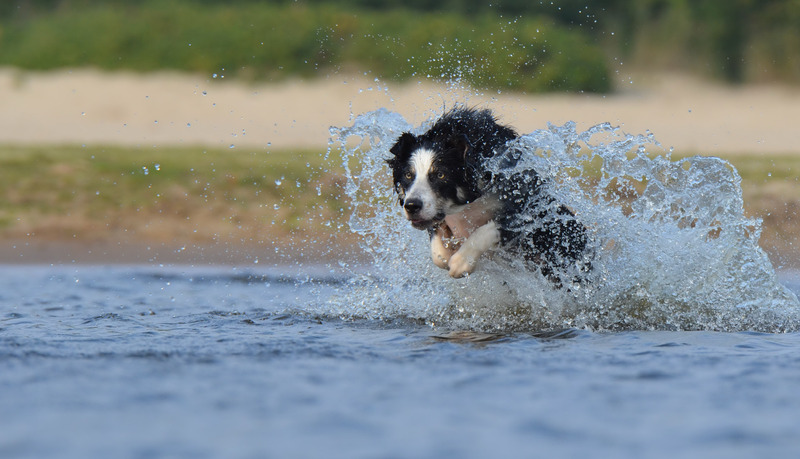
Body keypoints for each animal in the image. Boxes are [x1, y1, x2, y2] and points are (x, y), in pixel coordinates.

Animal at [388, 108, 592, 282]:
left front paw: (461, 262)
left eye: (441, 175)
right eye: (408, 175)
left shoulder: (527, 208)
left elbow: (488, 229)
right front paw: (447, 254)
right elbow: (438, 252)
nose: (411, 206)